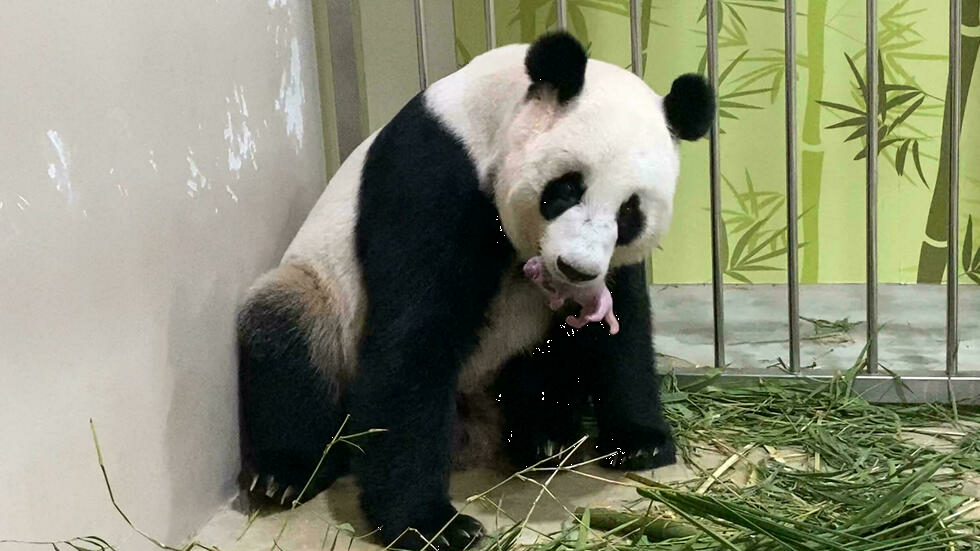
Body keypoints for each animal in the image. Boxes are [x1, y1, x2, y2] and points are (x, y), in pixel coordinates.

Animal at [238, 32, 713, 551]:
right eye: (567, 188)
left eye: (630, 212)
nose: (575, 268)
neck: (489, 118)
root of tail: (476, 428)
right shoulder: (433, 174)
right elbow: (414, 335)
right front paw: (431, 526)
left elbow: (622, 324)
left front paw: (640, 442)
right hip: (323, 300)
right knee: (287, 333)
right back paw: (285, 474)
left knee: (546, 362)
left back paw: (545, 434)